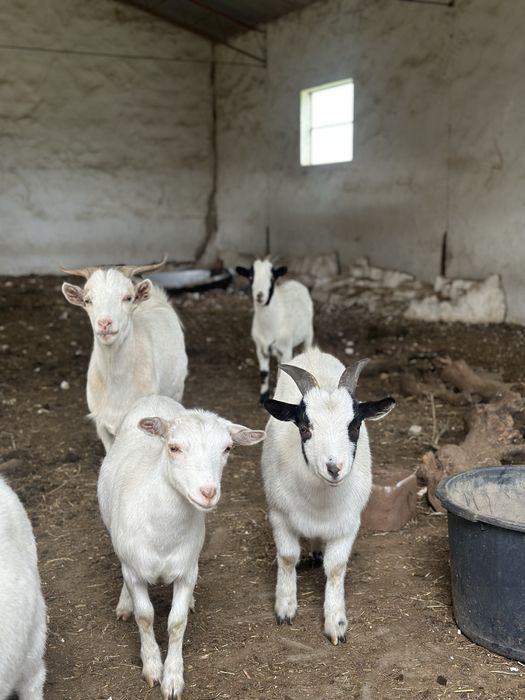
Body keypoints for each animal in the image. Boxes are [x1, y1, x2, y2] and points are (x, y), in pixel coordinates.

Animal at [97, 394, 265, 699]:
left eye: (227, 448)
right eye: (174, 447)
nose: (208, 492)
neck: (163, 533)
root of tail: (156, 398)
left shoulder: (187, 572)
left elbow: (176, 622)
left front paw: (173, 678)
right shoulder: (134, 571)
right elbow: (145, 616)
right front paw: (152, 667)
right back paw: (124, 603)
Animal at [236, 259, 314, 404]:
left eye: (272, 278)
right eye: (250, 277)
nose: (260, 295)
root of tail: (296, 282)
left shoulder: (286, 349)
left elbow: (282, 374)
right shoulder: (260, 348)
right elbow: (264, 373)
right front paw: (263, 397)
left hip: (308, 332)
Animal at [261, 348, 395, 644]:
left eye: (355, 426)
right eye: (304, 428)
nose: (334, 468)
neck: (321, 501)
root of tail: (314, 352)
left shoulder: (348, 523)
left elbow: (335, 568)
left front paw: (336, 622)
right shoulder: (279, 515)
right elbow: (287, 557)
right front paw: (285, 607)